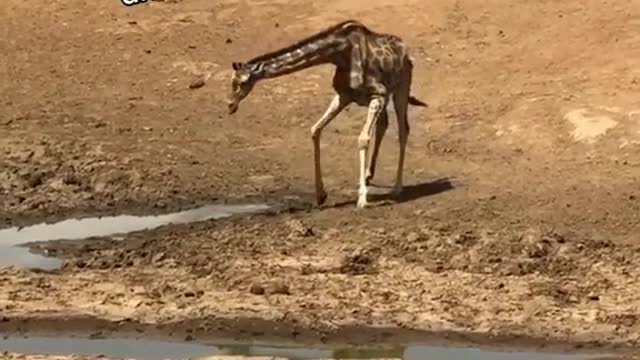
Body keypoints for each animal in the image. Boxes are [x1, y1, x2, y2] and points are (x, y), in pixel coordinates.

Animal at [228, 19, 428, 210]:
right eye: (232, 81)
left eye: (242, 83)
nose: (230, 105)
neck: (340, 53)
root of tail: (405, 49)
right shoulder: (345, 95)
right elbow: (315, 130)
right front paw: (320, 195)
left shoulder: (378, 93)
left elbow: (363, 139)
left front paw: (362, 200)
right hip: (380, 98)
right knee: (383, 124)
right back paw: (367, 175)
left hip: (401, 86)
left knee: (403, 130)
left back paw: (396, 187)